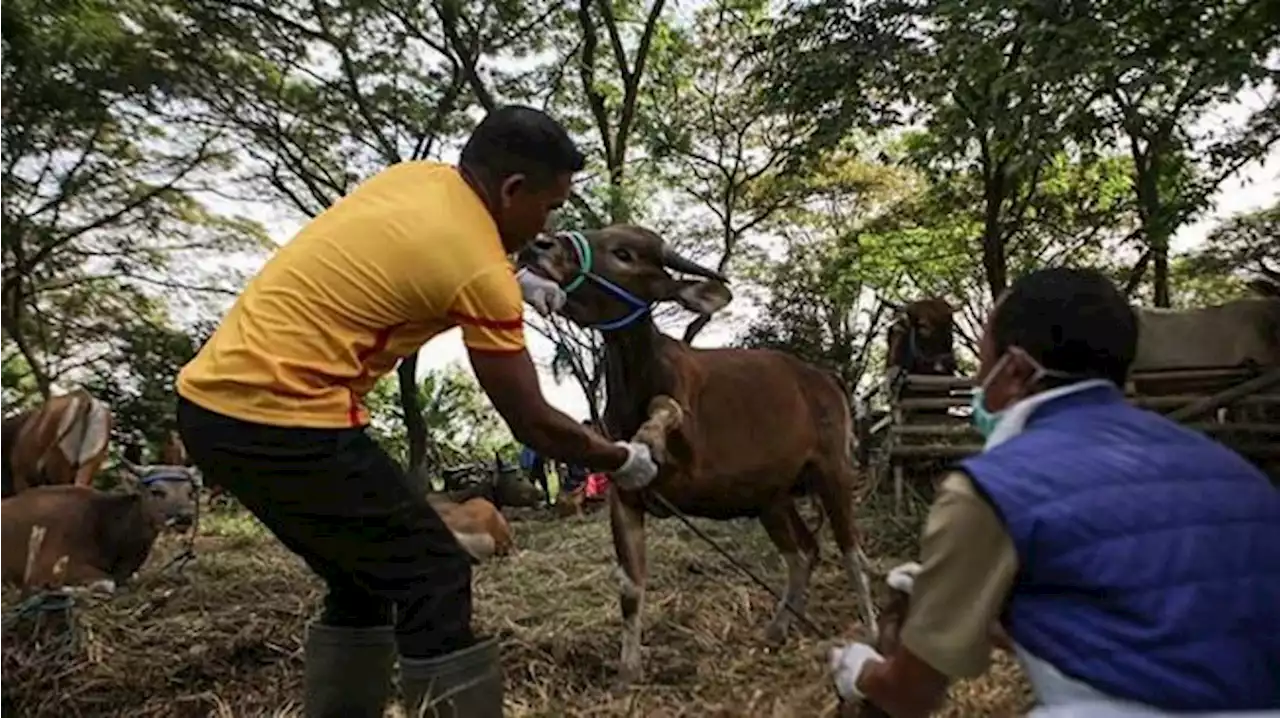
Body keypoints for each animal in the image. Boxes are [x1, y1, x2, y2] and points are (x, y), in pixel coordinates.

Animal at [514, 225, 875, 680]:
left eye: (624, 253)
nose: (540, 245)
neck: (639, 377)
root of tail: (826, 380)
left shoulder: (690, 453)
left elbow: (665, 408)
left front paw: (648, 436)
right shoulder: (625, 497)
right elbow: (630, 586)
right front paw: (628, 670)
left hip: (833, 471)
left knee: (852, 552)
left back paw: (872, 629)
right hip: (771, 498)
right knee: (805, 553)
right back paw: (778, 627)